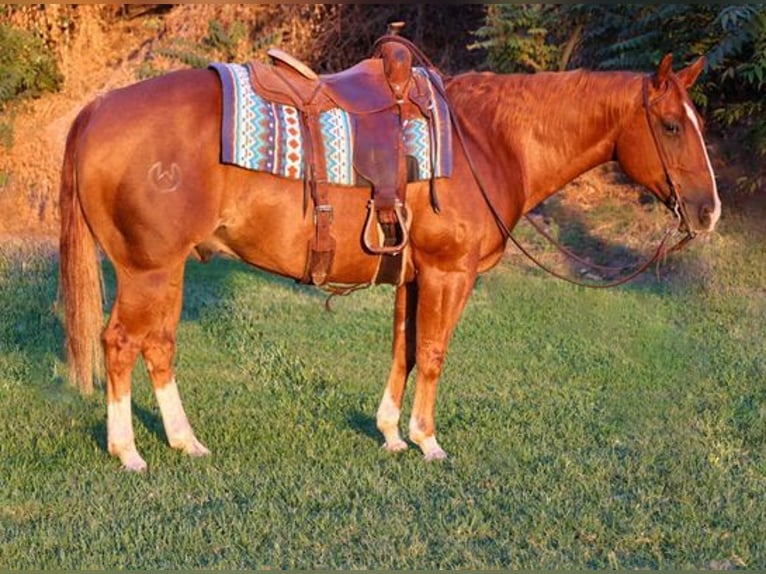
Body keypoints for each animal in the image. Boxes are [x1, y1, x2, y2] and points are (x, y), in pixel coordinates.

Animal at [58, 53, 720, 472]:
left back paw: (184, 442)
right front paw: (427, 441)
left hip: (167, 271)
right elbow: (433, 352)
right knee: (121, 343)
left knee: (158, 345)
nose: (709, 210)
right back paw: (128, 452)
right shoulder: (450, 273)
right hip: (148, 270)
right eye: (669, 125)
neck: (487, 141)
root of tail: (97, 110)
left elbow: (404, 350)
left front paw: (391, 434)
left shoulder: (414, 276)